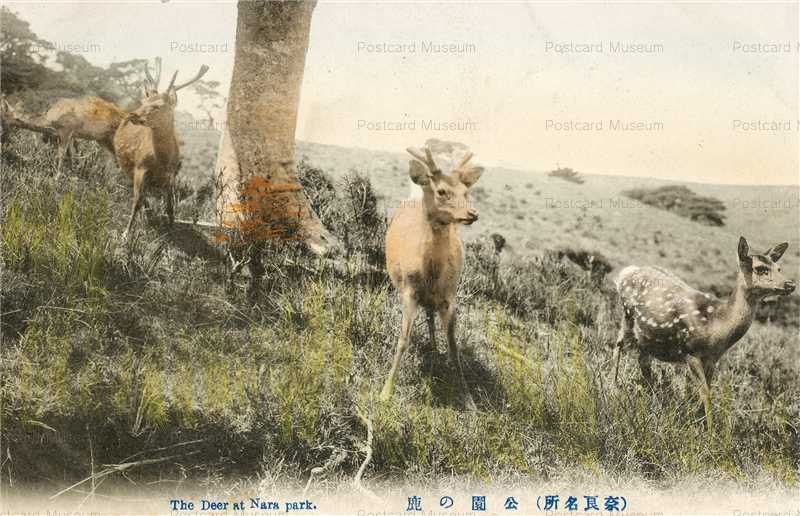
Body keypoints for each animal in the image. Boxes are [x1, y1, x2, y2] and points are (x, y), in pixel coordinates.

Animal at [113, 64, 208, 238]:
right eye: (144, 101)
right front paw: (126, 233)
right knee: (138, 194)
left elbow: (170, 207)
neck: (162, 161)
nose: (133, 115)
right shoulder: (140, 167)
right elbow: (136, 202)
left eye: (158, 106)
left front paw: (172, 229)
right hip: (126, 166)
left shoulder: (172, 175)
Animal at [380, 146, 485, 410]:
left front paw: (469, 399)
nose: (472, 213)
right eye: (441, 191)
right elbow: (403, 340)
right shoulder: (409, 292)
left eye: (466, 191)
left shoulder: (449, 298)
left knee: (430, 314)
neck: (431, 274)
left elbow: (454, 347)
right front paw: (385, 392)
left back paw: (435, 349)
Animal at [612, 237, 795, 432]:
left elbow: (707, 391)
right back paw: (613, 389)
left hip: (647, 337)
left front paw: (695, 421)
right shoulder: (690, 351)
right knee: (618, 346)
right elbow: (706, 394)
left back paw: (654, 399)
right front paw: (709, 433)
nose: (790, 284)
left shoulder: (712, 359)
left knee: (643, 361)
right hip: (627, 315)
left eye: (779, 268)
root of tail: (625, 272)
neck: (717, 326)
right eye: (760, 268)